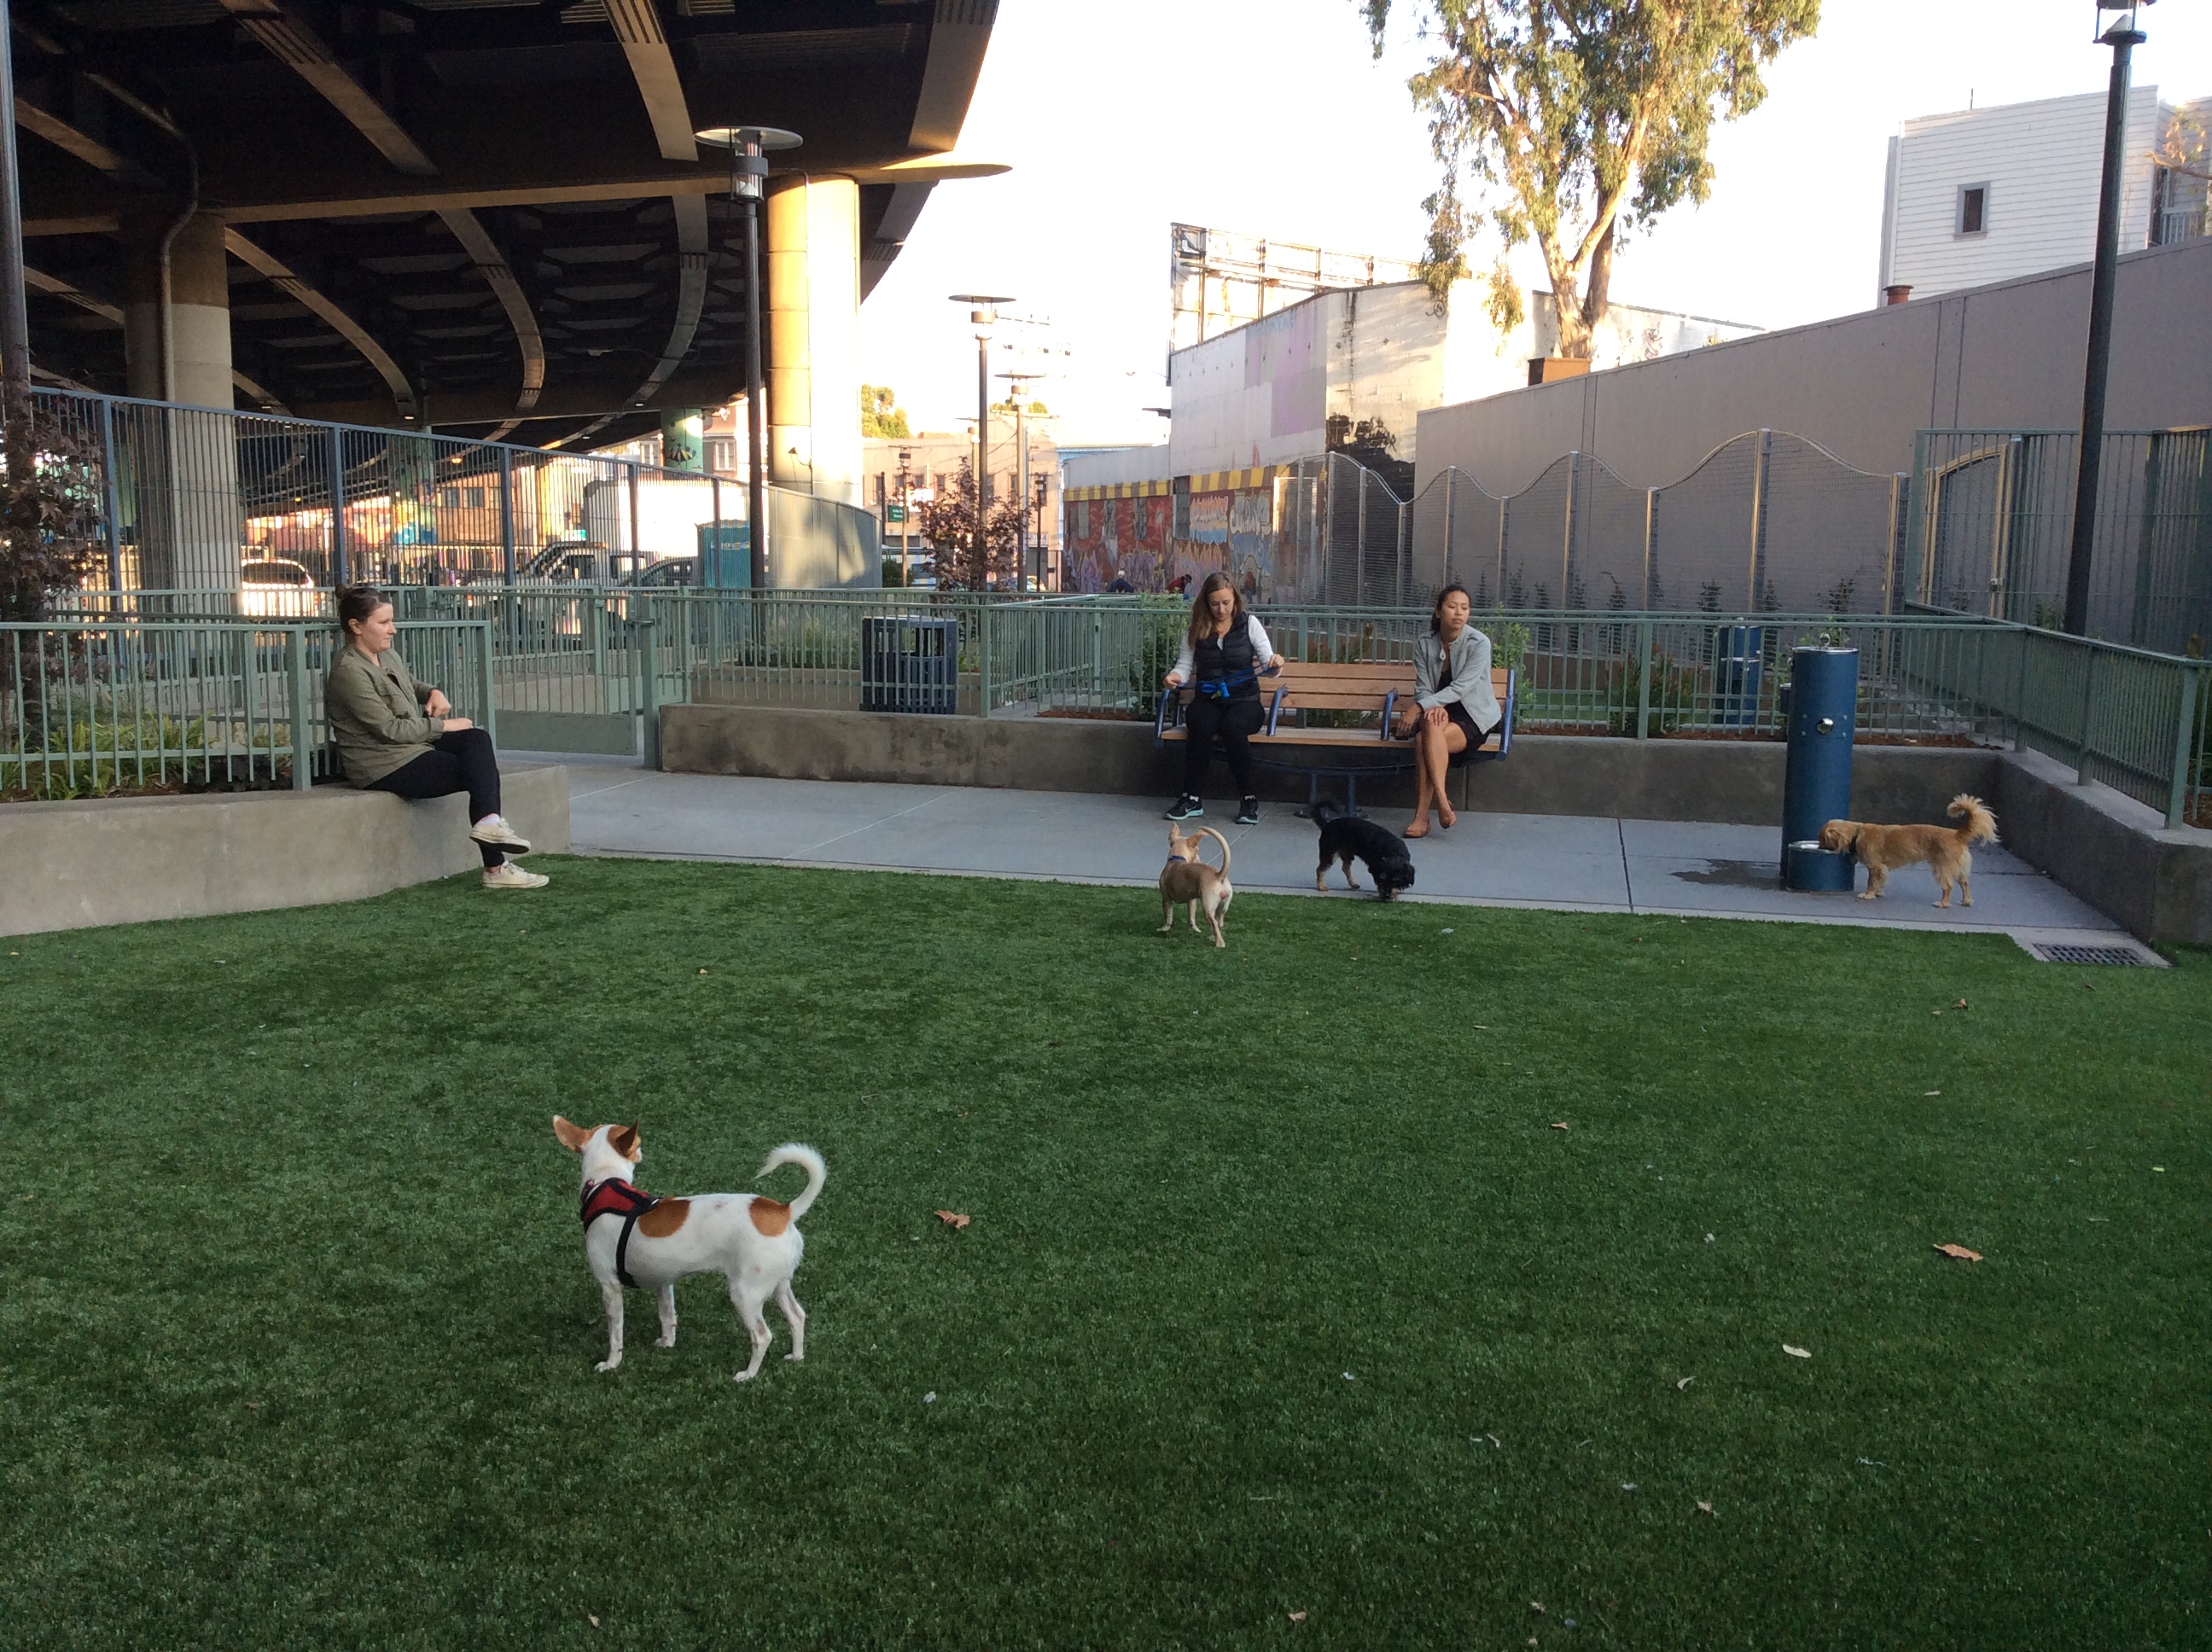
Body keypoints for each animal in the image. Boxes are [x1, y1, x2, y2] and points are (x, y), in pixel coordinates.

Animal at [553, 1123, 831, 1380]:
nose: (643, 1150)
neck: (604, 1182)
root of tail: (784, 1211)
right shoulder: (663, 1280)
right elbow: (667, 1314)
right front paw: (667, 1344)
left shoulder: (610, 1286)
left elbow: (615, 1333)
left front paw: (611, 1363)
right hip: (778, 1283)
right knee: (797, 1316)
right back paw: (796, 1356)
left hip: (745, 1293)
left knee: (762, 1335)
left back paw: (748, 1374)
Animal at [1822, 796, 2000, 910]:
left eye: (1822, 838)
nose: (1820, 846)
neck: (1857, 833)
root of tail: (1957, 834)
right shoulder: (1883, 868)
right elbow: (1881, 881)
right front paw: (1878, 893)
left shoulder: (1874, 866)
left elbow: (1871, 882)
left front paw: (1868, 895)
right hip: (1959, 869)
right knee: (1965, 884)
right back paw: (1966, 902)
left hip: (1940, 868)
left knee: (1948, 887)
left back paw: (1942, 904)